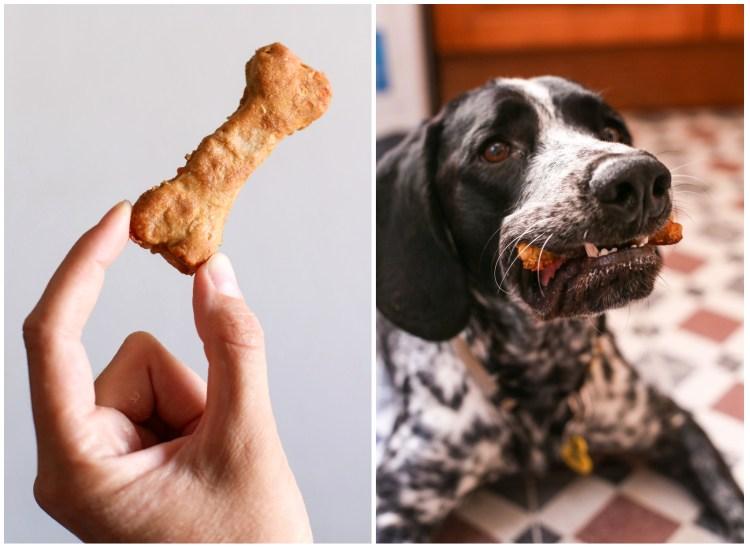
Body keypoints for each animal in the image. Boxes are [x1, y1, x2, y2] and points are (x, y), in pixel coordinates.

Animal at [378, 75, 744, 544]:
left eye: (610, 131)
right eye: (495, 149)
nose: (639, 177)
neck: (544, 371)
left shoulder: (675, 423)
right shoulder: (395, 505)